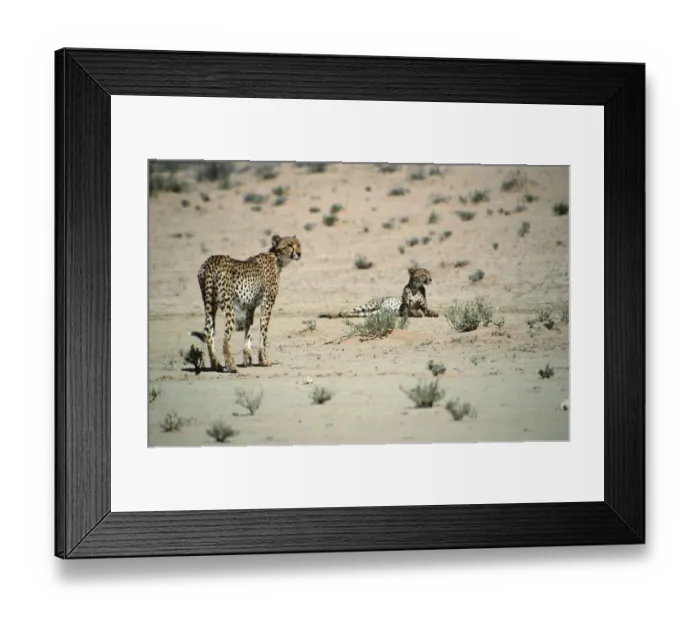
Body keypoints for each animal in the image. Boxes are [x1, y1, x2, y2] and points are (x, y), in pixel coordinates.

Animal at [194, 234, 301, 373]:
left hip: (210, 304)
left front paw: (247, 358)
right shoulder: (267, 303)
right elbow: (263, 332)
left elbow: (248, 327)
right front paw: (263, 360)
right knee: (226, 334)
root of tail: (210, 261)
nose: (299, 253)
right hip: (228, 305)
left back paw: (216, 365)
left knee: (208, 331)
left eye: (298, 244)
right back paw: (231, 365)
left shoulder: (250, 306)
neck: (276, 259)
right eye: (289, 245)